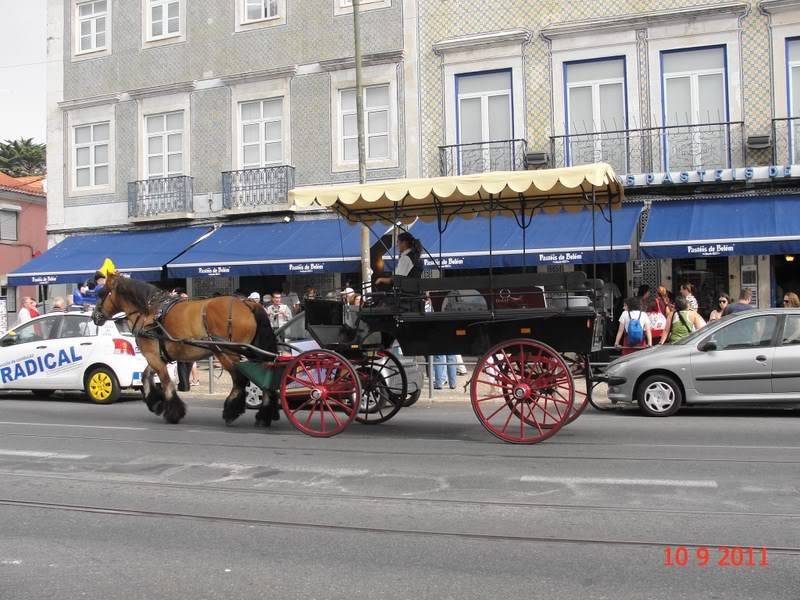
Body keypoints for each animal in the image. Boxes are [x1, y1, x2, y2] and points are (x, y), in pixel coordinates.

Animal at [92, 274, 276, 424]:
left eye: (102, 293)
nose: (95, 316)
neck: (149, 311)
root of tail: (247, 303)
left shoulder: (153, 356)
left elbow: (166, 382)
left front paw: (173, 412)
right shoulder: (158, 356)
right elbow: (145, 376)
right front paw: (155, 403)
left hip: (225, 352)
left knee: (240, 379)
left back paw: (231, 410)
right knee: (264, 376)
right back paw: (264, 414)